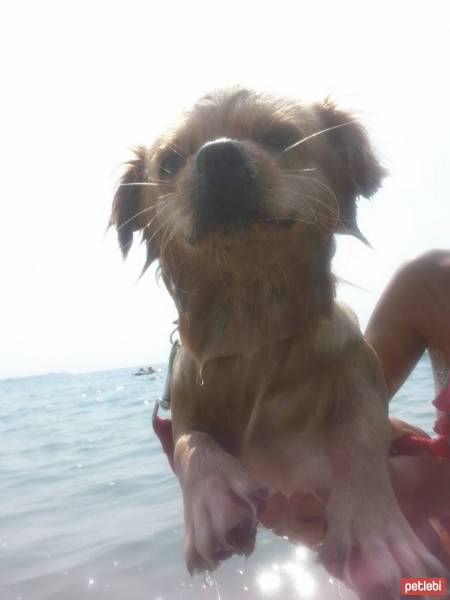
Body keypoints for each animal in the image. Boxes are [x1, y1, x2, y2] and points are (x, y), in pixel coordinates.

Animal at [110, 86, 444, 596]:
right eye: (169, 162)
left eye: (278, 138)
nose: (218, 155)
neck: (254, 332)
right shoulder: (183, 407)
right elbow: (191, 442)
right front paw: (211, 503)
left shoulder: (360, 378)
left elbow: (361, 434)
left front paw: (375, 533)